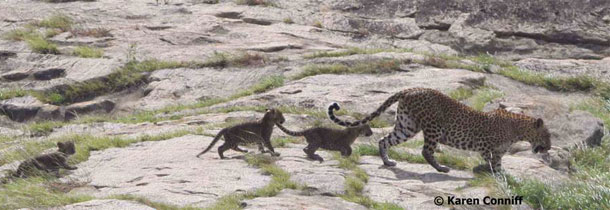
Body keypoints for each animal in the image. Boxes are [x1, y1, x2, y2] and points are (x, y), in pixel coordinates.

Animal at [328, 87, 552, 172]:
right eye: (547, 135)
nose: (549, 147)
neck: (518, 129)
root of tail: (410, 89)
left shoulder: (496, 151)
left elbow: (496, 164)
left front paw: (499, 175)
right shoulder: (486, 145)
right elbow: (490, 161)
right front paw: (491, 172)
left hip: (407, 125)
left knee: (384, 140)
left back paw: (388, 162)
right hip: (432, 126)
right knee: (426, 150)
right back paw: (441, 168)